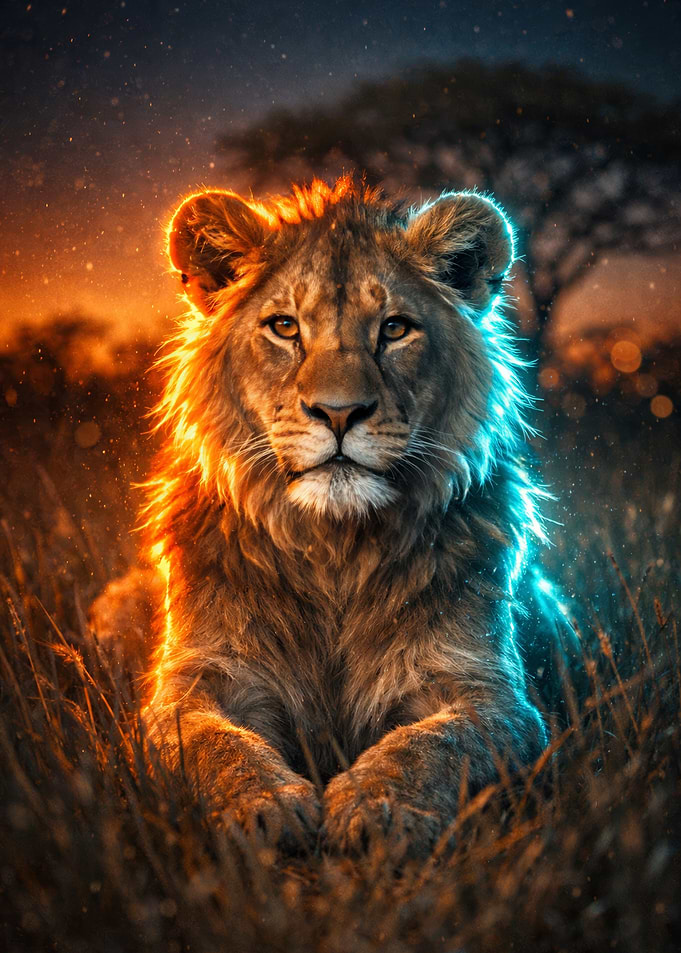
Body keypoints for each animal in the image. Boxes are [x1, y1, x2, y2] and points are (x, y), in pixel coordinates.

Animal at [92, 176, 573, 856]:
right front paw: (262, 805)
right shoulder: (193, 684)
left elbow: (436, 743)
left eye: (395, 329)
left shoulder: (491, 694)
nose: (340, 413)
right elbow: (213, 744)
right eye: (284, 327)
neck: (335, 550)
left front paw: (380, 806)